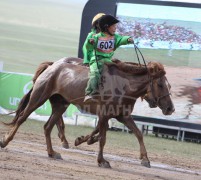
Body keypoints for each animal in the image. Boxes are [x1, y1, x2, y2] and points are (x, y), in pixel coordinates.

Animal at [0, 57, 174, 169]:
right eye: (160, 85)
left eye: (169, 85)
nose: (170, 108)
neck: (123, 85)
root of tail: (52, 66)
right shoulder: (104, 115)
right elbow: (103, 138)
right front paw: (101, 160)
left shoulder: (122, 116)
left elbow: (138, 134)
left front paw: (145, 158)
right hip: (38, 97)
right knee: (22, 118)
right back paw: (5, 141)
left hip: (60, 105)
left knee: (48, 127)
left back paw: (52, 152)